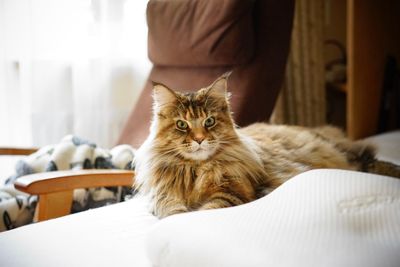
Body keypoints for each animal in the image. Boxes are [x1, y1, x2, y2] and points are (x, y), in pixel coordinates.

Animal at [134, 72, 400, 219]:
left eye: (209, 121)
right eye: (182, 125)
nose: (199, 139)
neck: (196, 170)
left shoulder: (233, 192)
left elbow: (205, 211)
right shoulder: (163, 195)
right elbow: (170, 211)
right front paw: (175, 217)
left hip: (349, 157)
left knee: (374, 162)